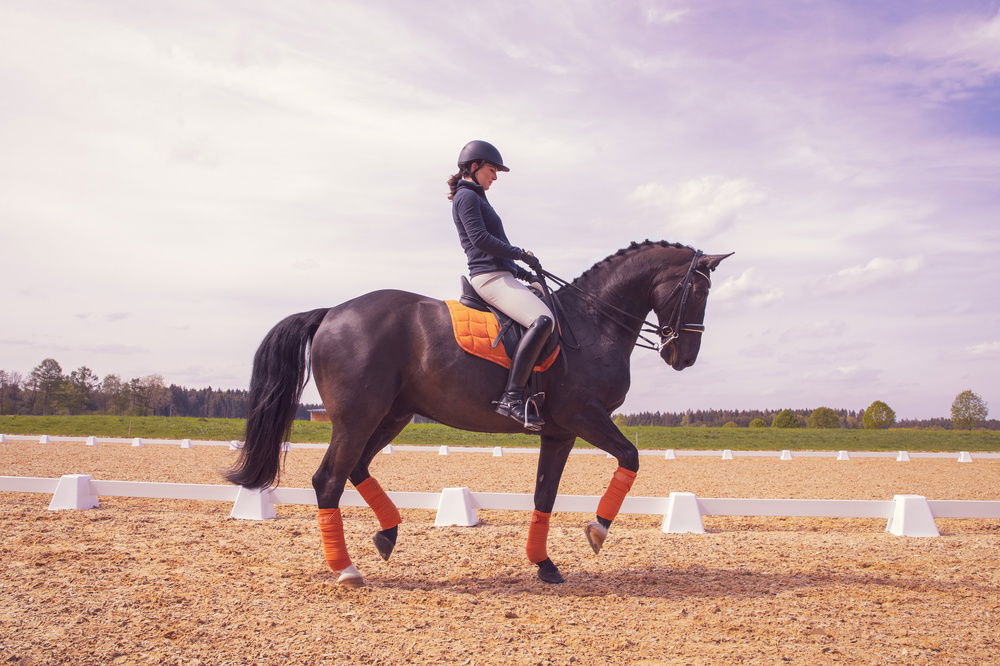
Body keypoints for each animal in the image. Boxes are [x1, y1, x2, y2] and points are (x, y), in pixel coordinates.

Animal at [225, 241, 728, 584]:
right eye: (698, 292)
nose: (683, 358)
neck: (592, 323)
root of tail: (331, 313)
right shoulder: (586, 416)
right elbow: (631, 457)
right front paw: (597, 531)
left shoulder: (560, 432)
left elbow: (545, 496)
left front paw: (544, 565)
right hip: (357, 418)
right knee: (328, 479)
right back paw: (347, 569)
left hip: (391, 416)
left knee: (357, 468)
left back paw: (387, 535)